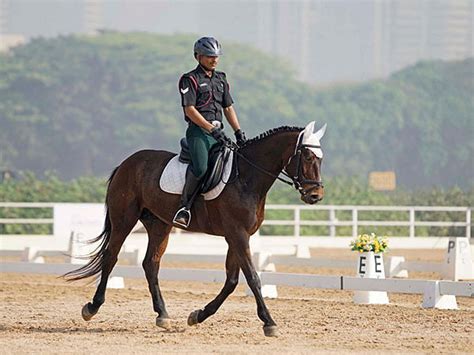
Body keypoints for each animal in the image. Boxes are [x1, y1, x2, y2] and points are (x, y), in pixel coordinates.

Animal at [65, 122, 326, 340]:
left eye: (320, 159)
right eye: (307, 156)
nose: (315, 196)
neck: (246, 178)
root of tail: (127, 163)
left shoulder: (236, 236)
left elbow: (232, 281)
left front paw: (198, 315)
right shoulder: (238, 235)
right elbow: (252, 278)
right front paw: (269, 322)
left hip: (160, 225)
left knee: (151, 264)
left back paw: (162, 315)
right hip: (124, 220)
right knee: (111, 257)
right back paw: (92, 307)